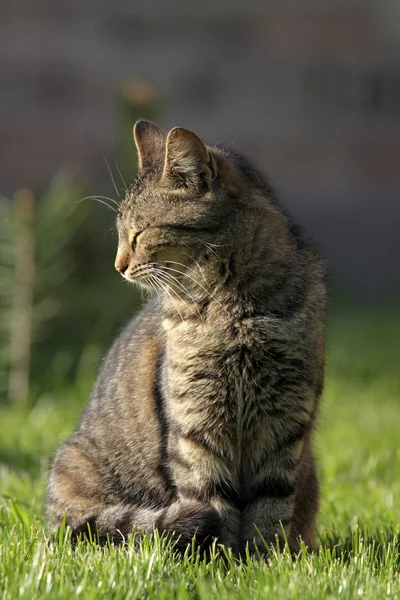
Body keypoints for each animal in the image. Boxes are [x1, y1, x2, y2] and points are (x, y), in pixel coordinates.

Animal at [46, 119, 328, 556]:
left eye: (139, 233)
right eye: (120, 234)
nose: (118, 266)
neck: (232, 310)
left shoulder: (285, 424)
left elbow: (271, 504)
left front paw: (266, 560)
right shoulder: (195, 424)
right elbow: (210, 498)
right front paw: (220, 559)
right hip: (78, 478)